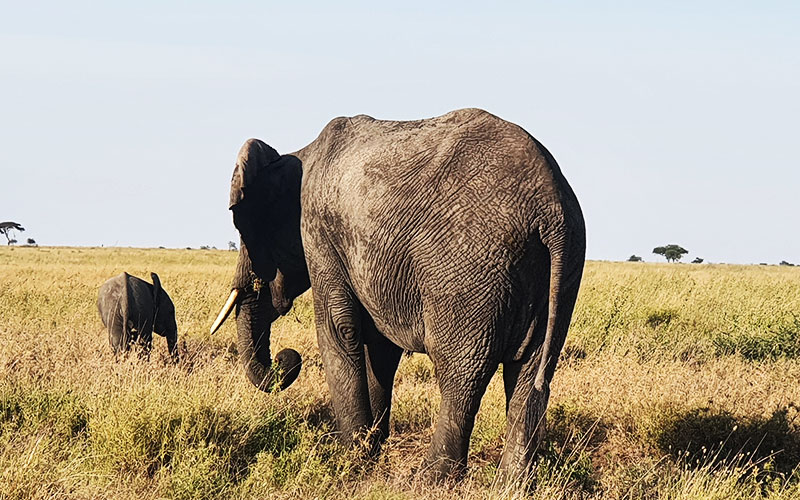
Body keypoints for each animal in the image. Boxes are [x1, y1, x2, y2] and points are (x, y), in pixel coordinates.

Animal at [211, 109, 588, 480]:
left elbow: (338, 329)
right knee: (532, 372)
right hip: (565, 265)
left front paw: (350, 459)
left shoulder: (319, 231)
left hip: (467, 268)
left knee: (461, 371)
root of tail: (549, 208)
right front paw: (371, 449)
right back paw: (512, 484)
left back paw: (431, 478)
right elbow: (380, 346)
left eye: (247, 231)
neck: (298, 155)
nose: (287, 359)